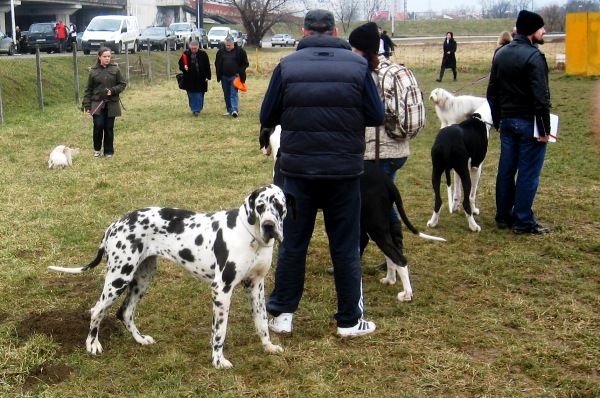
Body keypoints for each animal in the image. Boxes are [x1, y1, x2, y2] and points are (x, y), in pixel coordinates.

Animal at [50, 185, 294, 368]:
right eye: (260, 206)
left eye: (279, 206)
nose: (269, 225)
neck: (249, 235)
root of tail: (114, 225)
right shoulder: (222, 289)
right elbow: (219, 332)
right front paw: (218, 360)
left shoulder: (256, 286)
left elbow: (261, 322)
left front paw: (268, 347)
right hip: (119, 278)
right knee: (97, 310)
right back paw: (92, 344)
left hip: (142, 278)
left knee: (125, 312)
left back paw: (140, 339)